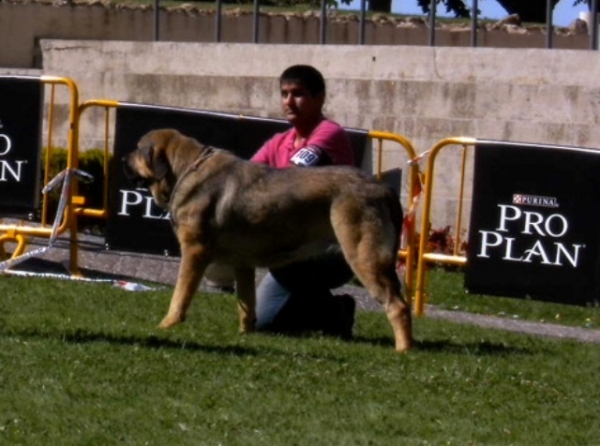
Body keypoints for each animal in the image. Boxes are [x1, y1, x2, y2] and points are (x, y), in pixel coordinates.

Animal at [123, 128, 412, 352]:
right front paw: (245, 333)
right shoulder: (242, 263)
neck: (184, 169)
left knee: (397, 305)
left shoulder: (194, 252)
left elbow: (180, 295)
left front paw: (167, 325)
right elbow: (247, 304)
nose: (124, 157)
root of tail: (383, 187)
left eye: (137, 149)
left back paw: (403, 349)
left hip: (363, 256)